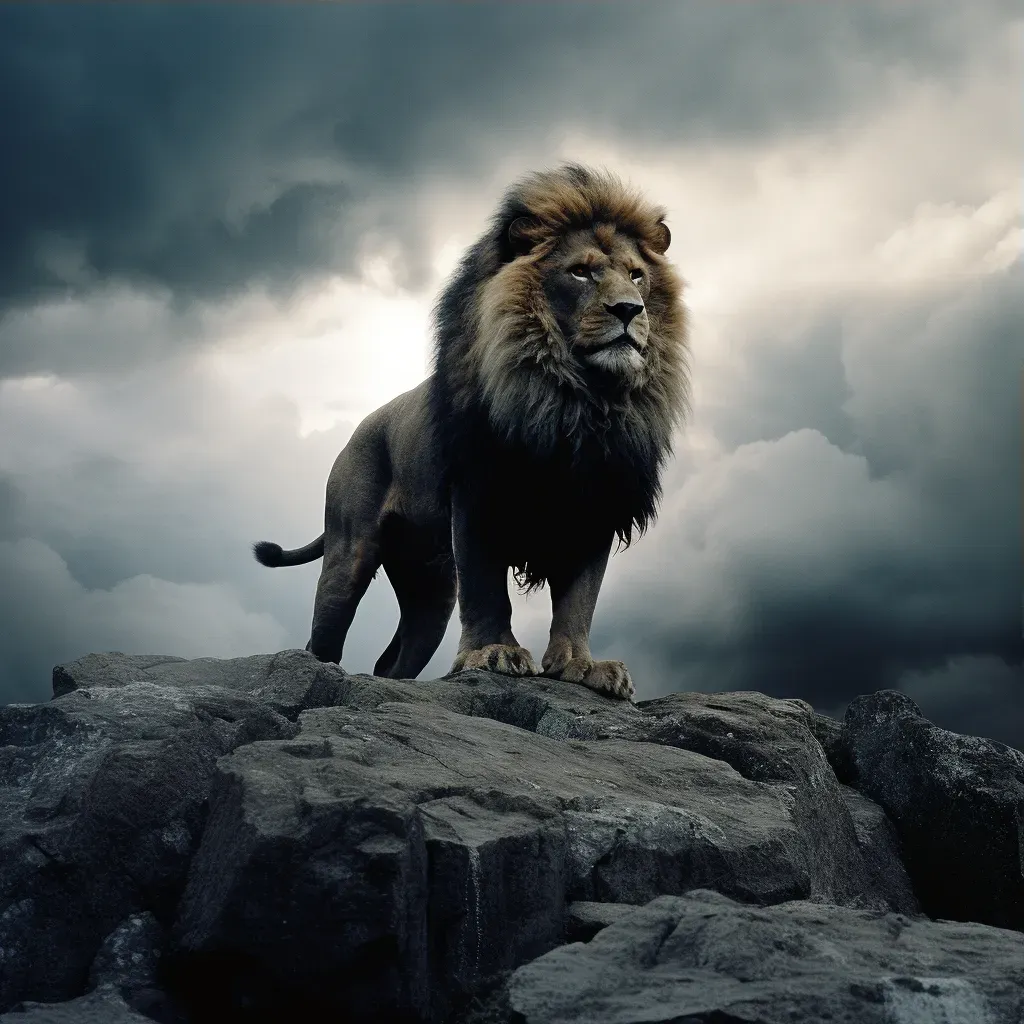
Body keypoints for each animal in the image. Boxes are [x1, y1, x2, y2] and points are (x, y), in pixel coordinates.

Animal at [251, 163, 692, 700]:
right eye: (581, 272)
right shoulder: (478, 494)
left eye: (636, 276)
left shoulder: (595, 505)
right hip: (348, 552)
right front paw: (494, 653)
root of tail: (359, 430)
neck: (578, 401)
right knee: (323, 637)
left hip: (429, 588)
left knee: (391, 662)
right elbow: (486, 589)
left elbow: (580, 597)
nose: (629, 310)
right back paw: (316, 675)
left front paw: (581, 665)